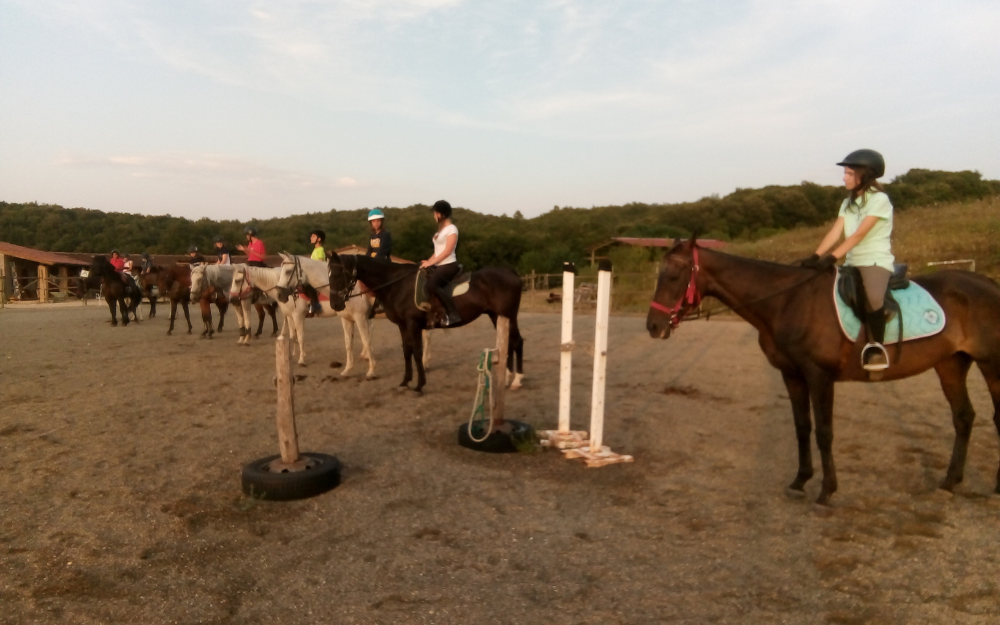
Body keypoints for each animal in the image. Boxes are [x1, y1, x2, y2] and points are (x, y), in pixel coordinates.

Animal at [328, 252, 528, 390]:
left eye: (339, 275)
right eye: (329, 275)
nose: (335, 304)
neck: (397, 284)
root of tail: (511, 272)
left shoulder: (413, 324)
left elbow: (417, 352)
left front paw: (419, 384)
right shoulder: (403, 325)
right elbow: (406, 351)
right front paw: (405, 381)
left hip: (508, 315)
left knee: (517, 342)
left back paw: (517, 379)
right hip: (497, 316)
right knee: (509, 343)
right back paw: (507, 377)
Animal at [648, 236, 1000, 504]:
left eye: (674, 276)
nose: (653, 326)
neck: (788, 301)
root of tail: (988, 284)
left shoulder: (819, 376)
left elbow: (824, 432)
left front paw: (826, 491)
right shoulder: (792, 375)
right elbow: (802, 427)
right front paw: (800, 481)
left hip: (991, 365)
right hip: (951, 363)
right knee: (963, 417)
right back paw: (950, 482)